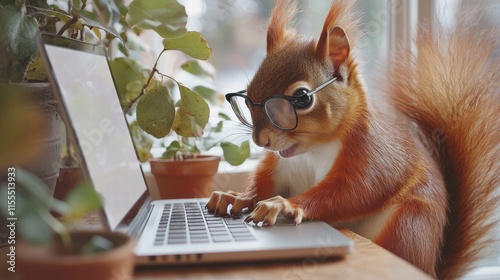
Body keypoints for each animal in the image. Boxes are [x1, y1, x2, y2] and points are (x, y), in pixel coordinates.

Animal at [205, 0, 498, 278]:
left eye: (302, 98)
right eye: (248, 96)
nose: (261, 141)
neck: (311, 151)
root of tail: (431, 267)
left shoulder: (372, 152)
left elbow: (356, 190)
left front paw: (285, 204)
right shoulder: (280, 165)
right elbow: (265, 180)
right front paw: (237, 197)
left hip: (407, 225)